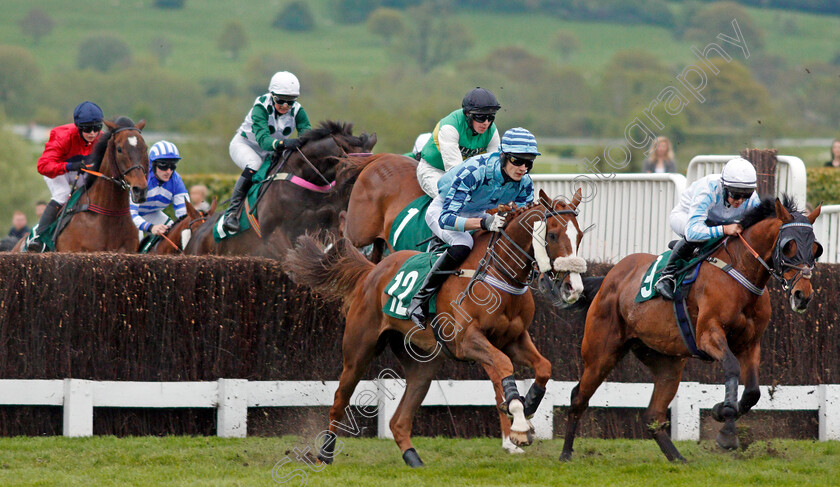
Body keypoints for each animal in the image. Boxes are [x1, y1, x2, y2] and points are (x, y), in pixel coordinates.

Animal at [286, 189, 588, 468]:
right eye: (552, 235)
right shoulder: (466, 340)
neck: (498, 274)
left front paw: (529, 404)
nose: (573, 287)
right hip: (359, 350)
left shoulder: (514, 339)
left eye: (580, 236)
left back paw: (413, 458)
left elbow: (544, 366)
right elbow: (503, 364)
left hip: (422, 365)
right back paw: (325, 454)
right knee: (340, 399)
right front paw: (520, 424)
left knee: (399, 419)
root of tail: (372, 270)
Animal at [560, 196, 824, 464]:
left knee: (653, 415)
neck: (739, 271)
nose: (802, 296)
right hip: (601, 354)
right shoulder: (708, 335)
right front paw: (727, 431)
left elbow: (753, 392)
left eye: (815, 248)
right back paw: (566, 453)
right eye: (788, 247)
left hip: (667, 362)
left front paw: (720, 411)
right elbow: (731, 367)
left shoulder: (750, 343)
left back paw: (677, 459)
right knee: (578, 398)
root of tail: (608, 278)